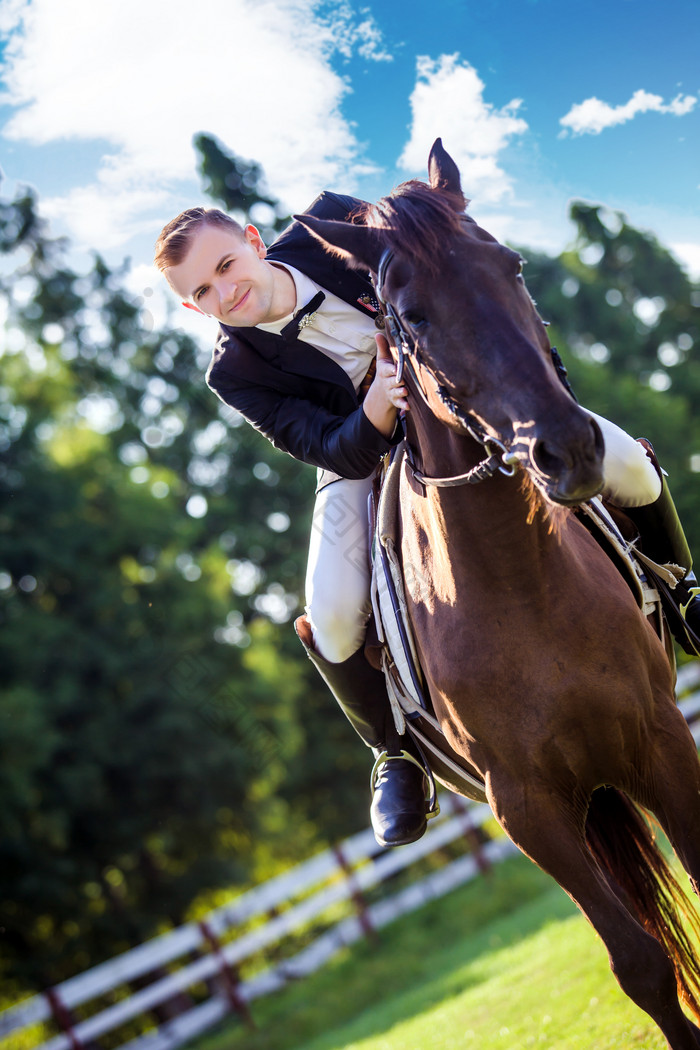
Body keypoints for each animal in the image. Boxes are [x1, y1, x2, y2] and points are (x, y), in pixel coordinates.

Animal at [298, 141, 700, 1050]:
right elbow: (642, 964)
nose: (568, 449)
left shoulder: (661, 737)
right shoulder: (527, 809)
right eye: (409, 316)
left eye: (511, 266)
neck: (519, 582)